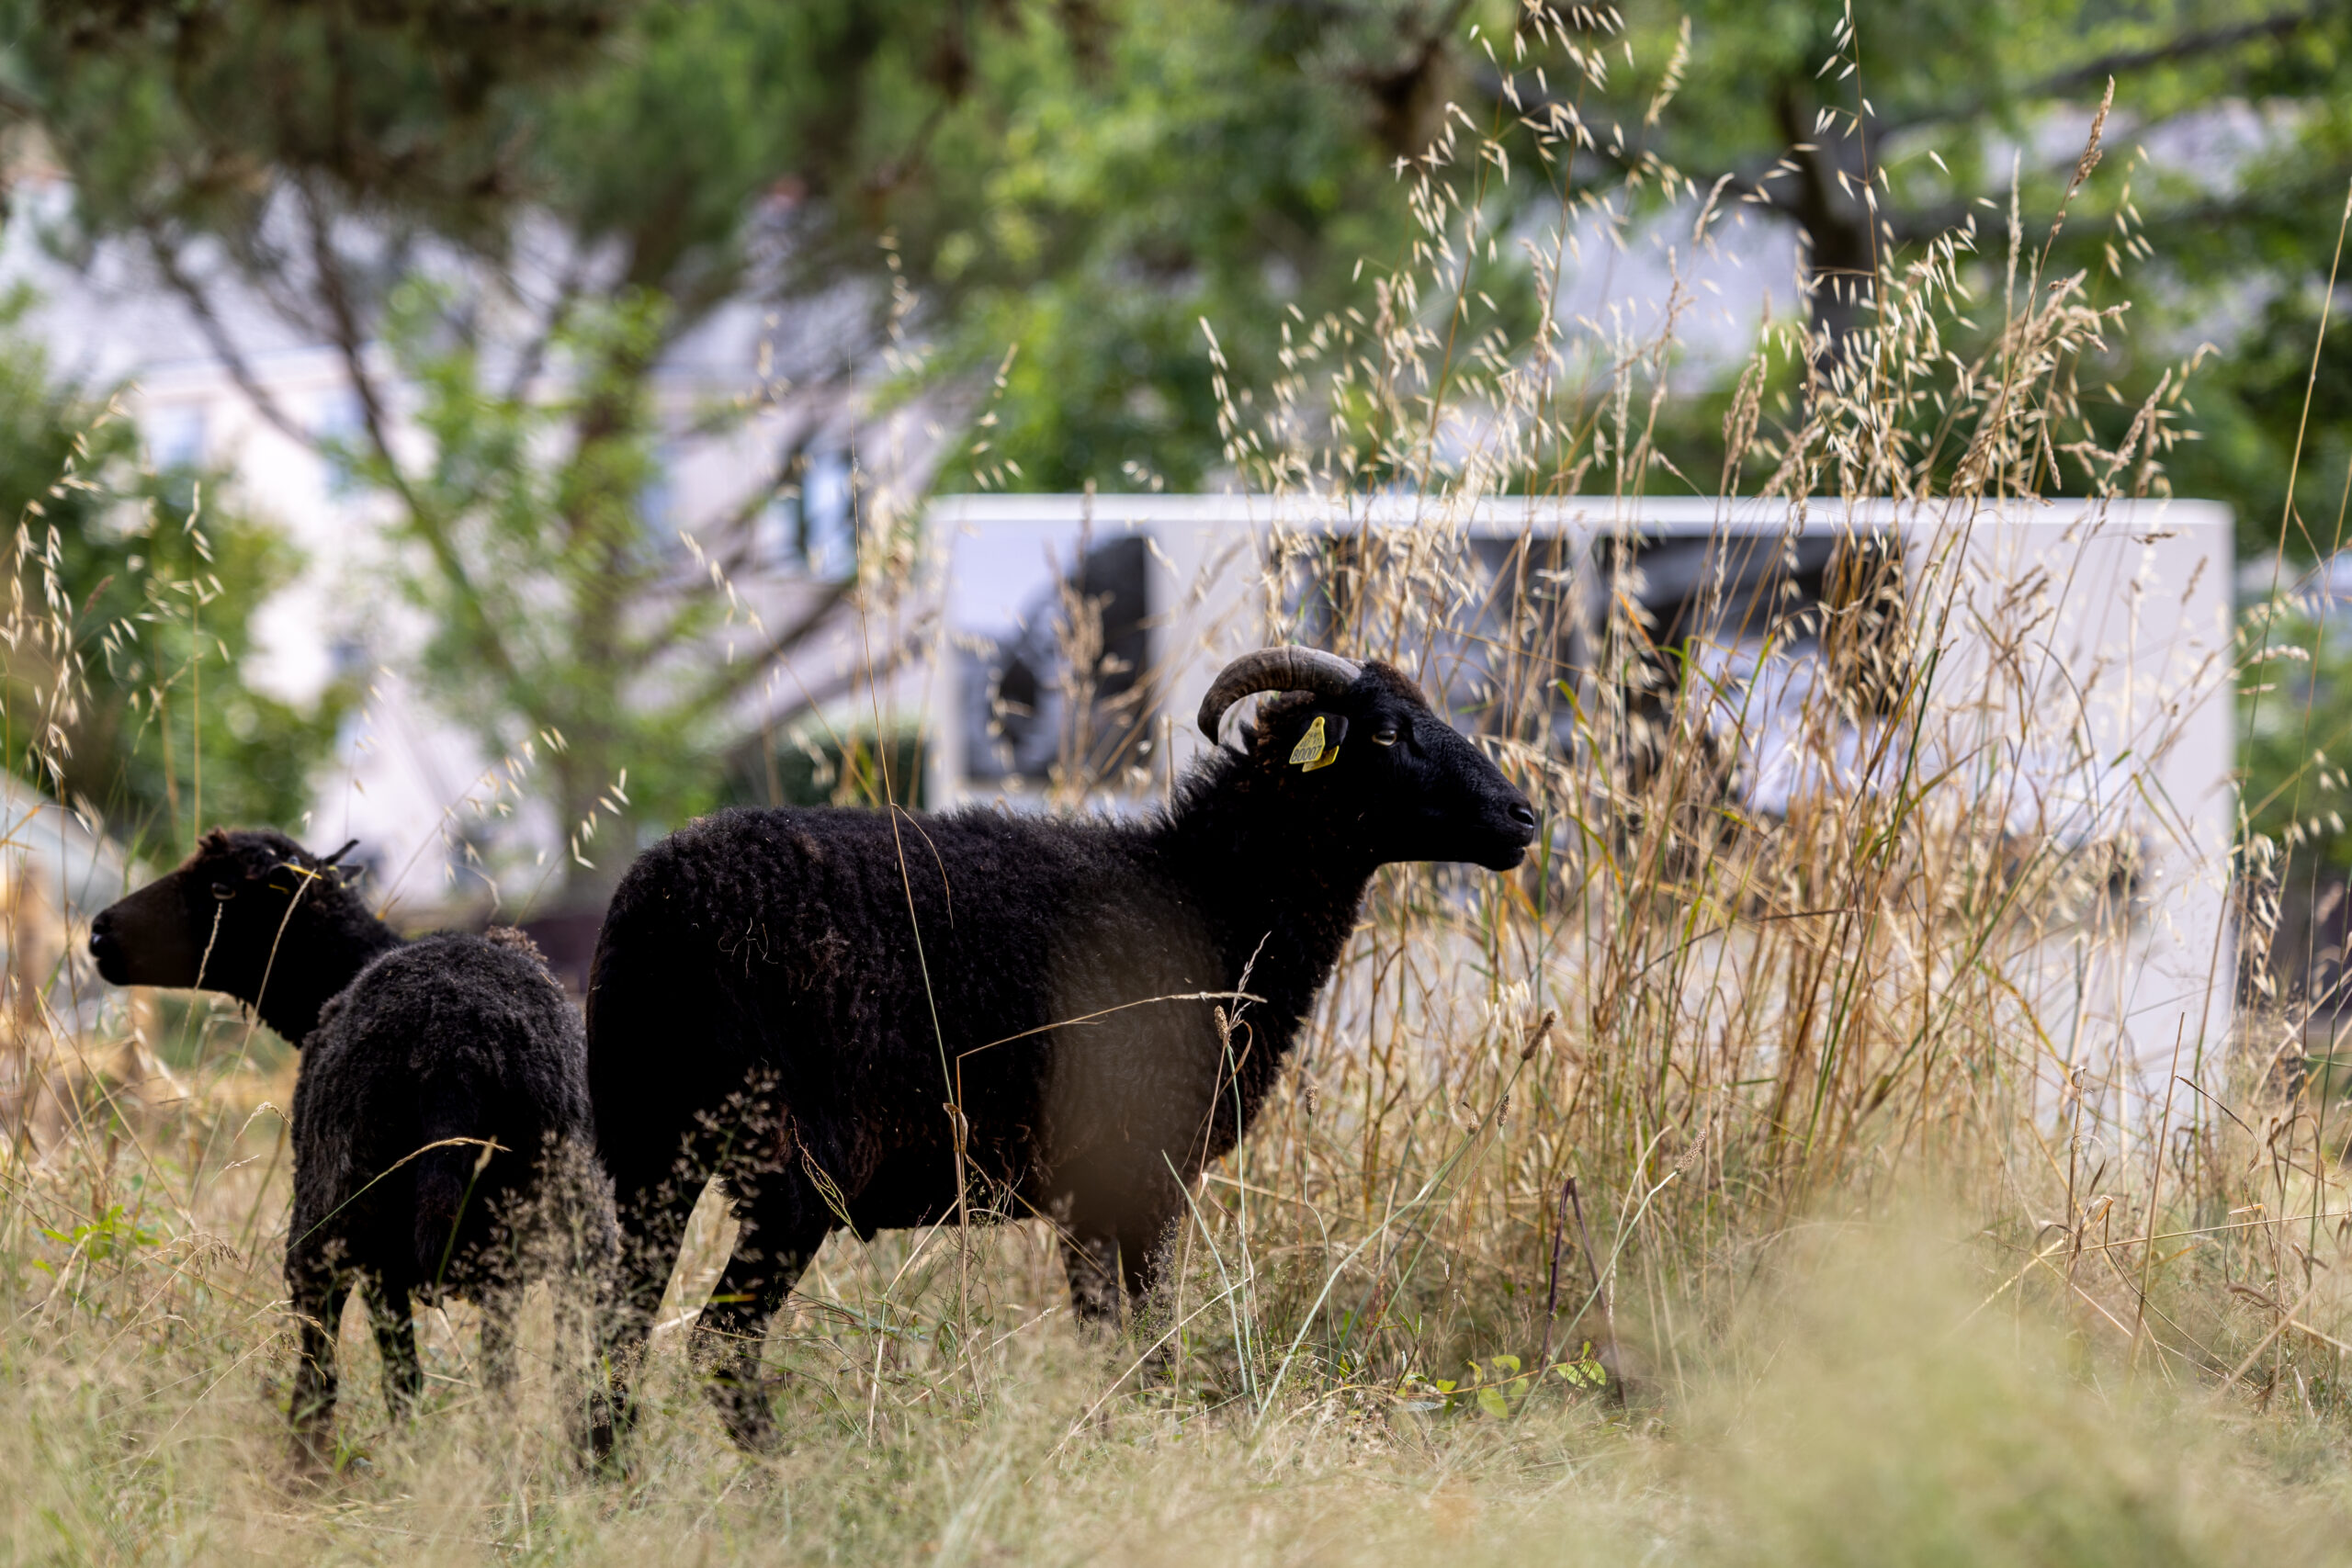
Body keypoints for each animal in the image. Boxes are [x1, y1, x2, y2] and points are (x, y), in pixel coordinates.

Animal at [89, 831, 616, 1457]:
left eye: (221, 888)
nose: (97, 932)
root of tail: (454, 1049)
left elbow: (393, 1373)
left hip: (340, 1208)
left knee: (327, 1362)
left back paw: (310, 1460)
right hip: (563, 1224)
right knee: (560, 1372)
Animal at [588, 649, 1543, 1448]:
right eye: (1383, 732)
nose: (1525, 815)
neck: (1208, 898)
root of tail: (659, 904)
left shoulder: (1087, 1187)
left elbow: (1101, 1337)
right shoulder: (1149, 1167)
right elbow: (1151, 1336)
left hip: (646, 1147)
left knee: (615, 1333)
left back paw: (615, 1481)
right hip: (790, 1166)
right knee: (718, 1345)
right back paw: (777, 1485)